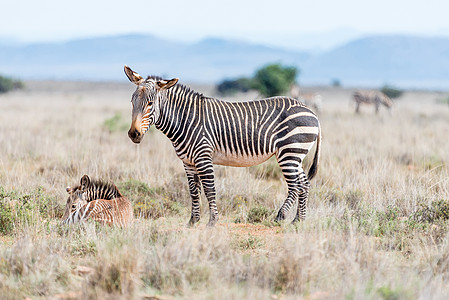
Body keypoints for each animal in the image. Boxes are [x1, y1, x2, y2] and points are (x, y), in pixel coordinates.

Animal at [124, 65, 320, 225]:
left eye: (150, 103)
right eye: (132, 101)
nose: (134, 134)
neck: (185, 120)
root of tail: (311, 112)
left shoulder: (203, 157)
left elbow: (210, 190)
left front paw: (212, 221)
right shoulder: (188, 162)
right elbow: (193, 191)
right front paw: (193, 222)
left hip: (289, 152)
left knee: (295, 185)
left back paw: (280, 216)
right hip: (295, 155)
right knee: (304, 183)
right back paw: (298, 221)